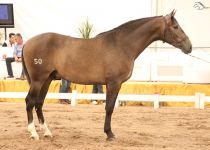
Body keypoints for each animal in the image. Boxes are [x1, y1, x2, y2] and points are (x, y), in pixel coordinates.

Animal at [21, 10, 192, 141]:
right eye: (176, 27)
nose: (189, 46)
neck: (121, 45)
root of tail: (27, 42)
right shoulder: (113, 83)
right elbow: (109, 108)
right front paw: (109, 134)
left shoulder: (114, 84)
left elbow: (110, 107)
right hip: (38, 80)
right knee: (30, 101)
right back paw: (33, 133)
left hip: (47, 79)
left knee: (39, 103)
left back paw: (47, 132)